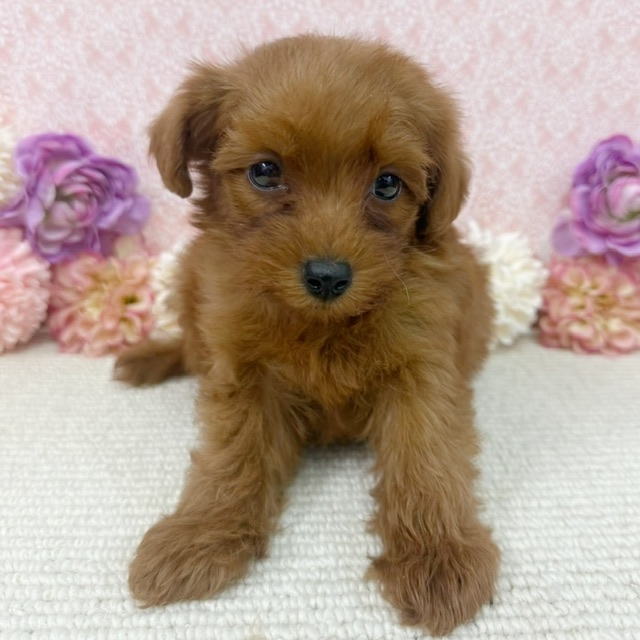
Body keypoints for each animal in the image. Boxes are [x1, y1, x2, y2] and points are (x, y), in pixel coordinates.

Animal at [115, 34, 499, 636]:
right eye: (265, 171)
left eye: (387, 183)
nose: (327, 276)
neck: (324, 325)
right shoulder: (242, 370)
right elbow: (233, 455)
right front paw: (201, 535)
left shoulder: (423, 366)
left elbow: (426, 457)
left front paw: (437, 556)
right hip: (186, 279)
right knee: (188, 348)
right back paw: (152, 357)